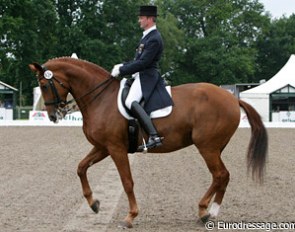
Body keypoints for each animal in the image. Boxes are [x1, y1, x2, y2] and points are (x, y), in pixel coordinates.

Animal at [29, 57, 268, 228]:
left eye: (44, 84)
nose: (53, 116)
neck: (101, 98)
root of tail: (232, 98)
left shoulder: (116, 148)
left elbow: (127, 181)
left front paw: (130, 216)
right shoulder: (103, 147)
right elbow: (81, 168)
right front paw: (94, 204)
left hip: (207, 147)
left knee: (221, 175)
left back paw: (210, 213)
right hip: (215, 148)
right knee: (219, 177)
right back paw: (203, 211)